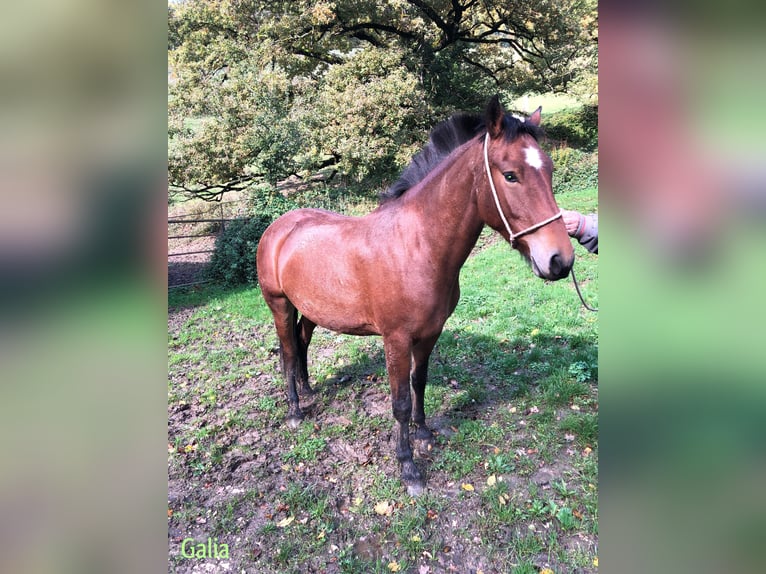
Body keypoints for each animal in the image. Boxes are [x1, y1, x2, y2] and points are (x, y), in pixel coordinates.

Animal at [258, 97, 576, 498]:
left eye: (549, 169)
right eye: (510, 175)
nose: (559, 260)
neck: (417, 245)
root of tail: (279, 227)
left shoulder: (430, 332)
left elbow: (419, 382)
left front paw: (424, 433)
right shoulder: (395, 339)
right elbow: (400, 403)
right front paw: (408, 468)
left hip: (312, 310)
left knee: (301, 344)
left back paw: (308, 389)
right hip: (279, 305)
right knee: (287, 351)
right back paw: (296, 411)